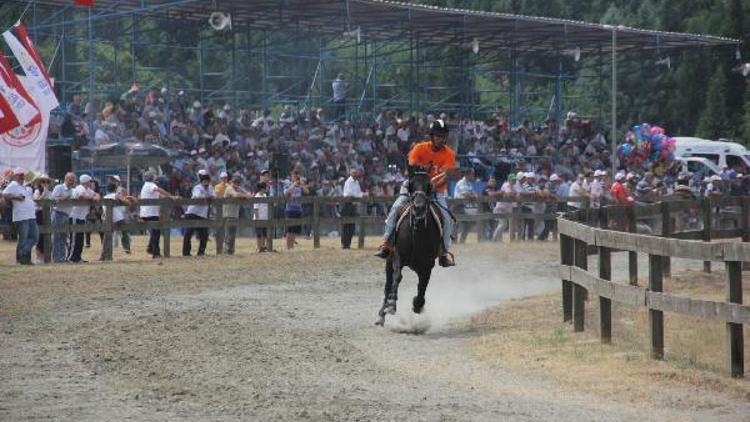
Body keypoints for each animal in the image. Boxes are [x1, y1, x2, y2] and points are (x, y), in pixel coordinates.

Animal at [374, 166, 444, 326]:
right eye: (411, 184)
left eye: (429, 185)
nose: (419, 208)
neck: (417, 231)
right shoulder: (397, 255)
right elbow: (397, 277)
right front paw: (391, 304)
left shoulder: (428, 264)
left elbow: (422, 285)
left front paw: (417, 304)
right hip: (389, 260)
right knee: (388, 284)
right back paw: (381, 314)